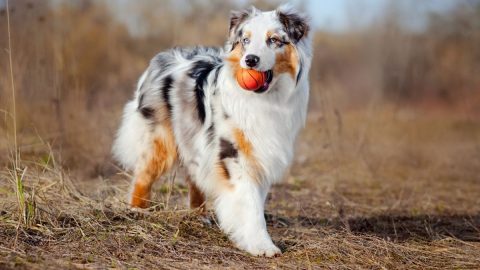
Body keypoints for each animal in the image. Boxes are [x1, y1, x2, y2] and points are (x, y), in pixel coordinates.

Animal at [114, 5, 314, 256]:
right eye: (246, 40)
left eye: (274, 40)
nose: (250, 60)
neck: (265, 100)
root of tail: (162, 57)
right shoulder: (233, 153)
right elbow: (249, 203)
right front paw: (261, 245)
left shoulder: (260, 154)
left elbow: (255, 201)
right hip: (161, 139)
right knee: (143, 174)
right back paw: (137, 210)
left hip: (194, 139)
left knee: (194, 177)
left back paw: (198, 216)